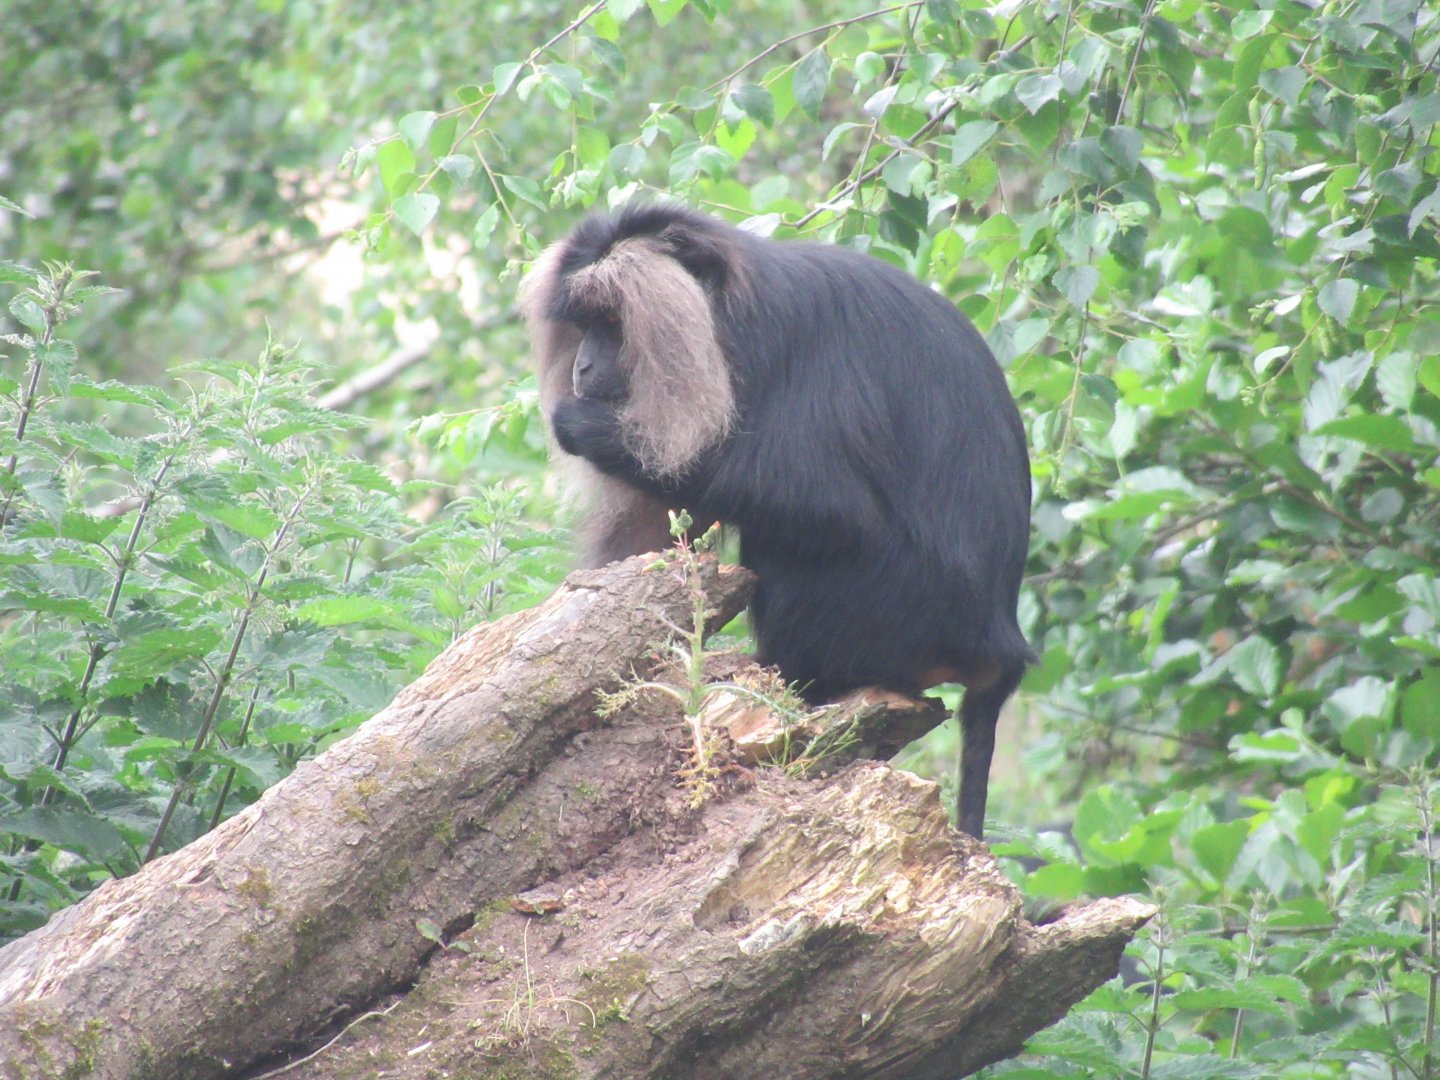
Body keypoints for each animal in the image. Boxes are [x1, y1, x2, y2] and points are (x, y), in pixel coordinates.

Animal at [521, 204, 1032, 838]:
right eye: (585, 326)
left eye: (613, 323)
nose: (584, 367)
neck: (732, 318)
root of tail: (999, 642)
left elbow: (829, 506)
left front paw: (587, 428)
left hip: (893, 613)